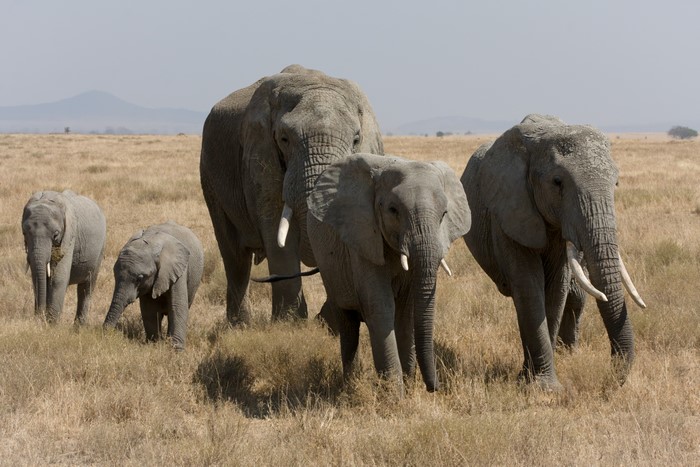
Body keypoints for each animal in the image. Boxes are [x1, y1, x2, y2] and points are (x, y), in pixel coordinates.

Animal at [21, 190, 106, 324]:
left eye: (56, 235)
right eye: (24, 233)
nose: (39, 316)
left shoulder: (69, 235)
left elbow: (58, 278)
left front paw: (51, 324)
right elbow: (37, 276)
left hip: (100, 249)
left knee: (87, 287)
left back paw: (79, 327)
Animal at [103, 221, 204, 350]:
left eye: (140, 278)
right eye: (114, 273)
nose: (106, 333)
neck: (151, 242)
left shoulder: (178, 270)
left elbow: (178, 306)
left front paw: (176, 351)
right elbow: (149, 309)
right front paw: (154, 344)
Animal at [200, 64, 383, 325]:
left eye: (356, 139)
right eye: (284, 139)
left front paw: (328, 321)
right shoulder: (260, 157)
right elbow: (276, 229)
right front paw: (290, 323)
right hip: (210, 175)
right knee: (235, 255)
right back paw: (239, 325)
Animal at [307, 153, 471, 392]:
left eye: (444, 214)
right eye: (393, 210)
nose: (436, 387)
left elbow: (405, 312)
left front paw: (408, 387)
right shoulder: (363, 239)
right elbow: (381, 308)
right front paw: (394, 393)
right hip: (329, 267)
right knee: (348, 325)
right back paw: (350, 385)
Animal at [461, 114, 646, 390]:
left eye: (616, 182)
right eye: (557, 183)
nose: (611, 379)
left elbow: (556, 288)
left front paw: (535, 382)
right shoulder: (508, 214)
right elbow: (530, 287)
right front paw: (543, 388)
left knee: (575, 295)